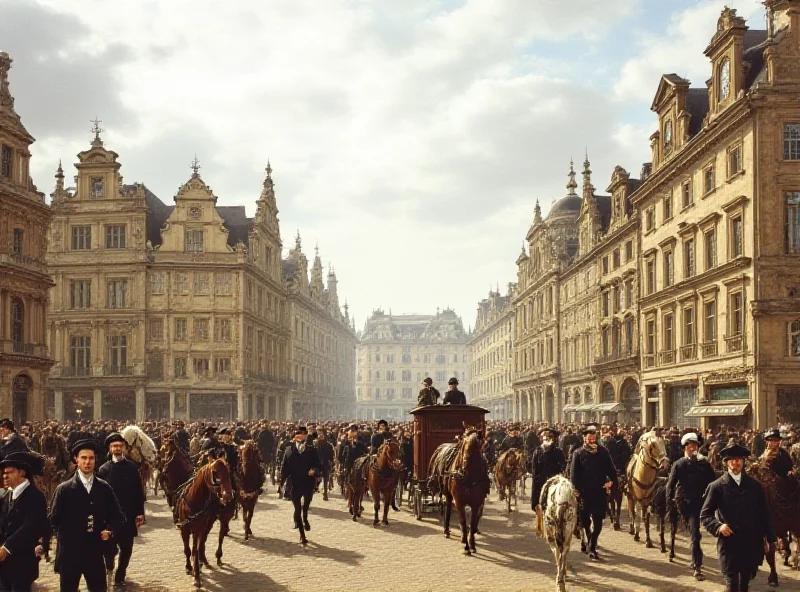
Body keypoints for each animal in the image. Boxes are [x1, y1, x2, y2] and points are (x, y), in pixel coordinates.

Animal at [173, 458, 233, 588]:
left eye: (228, 471)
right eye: (215, 472)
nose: (228, 495)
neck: (194, 502)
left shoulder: (198, 529)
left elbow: (196, 549)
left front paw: (196, 575)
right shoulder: (184, 530)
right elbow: (187, 549)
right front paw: (189, 567)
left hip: (208, 523)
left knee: (202, 542)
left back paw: (202, 561)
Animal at [428, 426, 490, 556]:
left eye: (478, 446)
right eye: (463, 444)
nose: (465, 466)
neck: (468, 477)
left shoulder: (476, 503)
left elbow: (472, 522)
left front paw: (472, 544)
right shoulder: (459, 501)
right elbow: (463, 521)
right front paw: (466, 547)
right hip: (448, 494)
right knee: (448, 509)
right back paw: (446, 530)